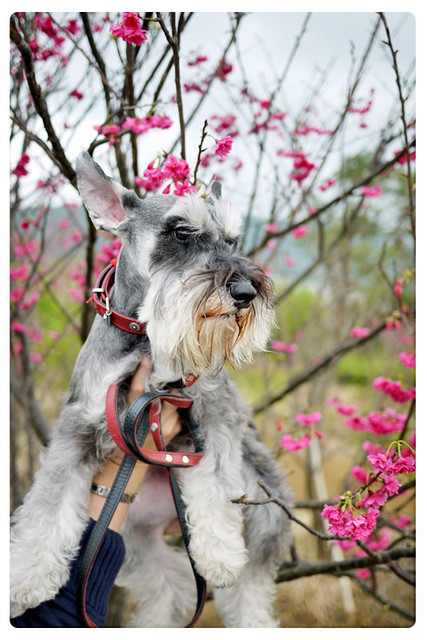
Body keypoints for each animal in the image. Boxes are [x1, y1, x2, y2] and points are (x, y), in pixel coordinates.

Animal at [11, 152, 296, 628]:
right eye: (181, 232)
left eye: (233, 239)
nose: (245, 291)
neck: (146, 339)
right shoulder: (77, 425)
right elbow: (49, 503)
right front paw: (26, 577)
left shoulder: (212, 416)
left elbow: (214, 481)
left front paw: (219, 554)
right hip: (137, 539)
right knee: (167, 585)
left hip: (266, 511)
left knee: (251, 589)